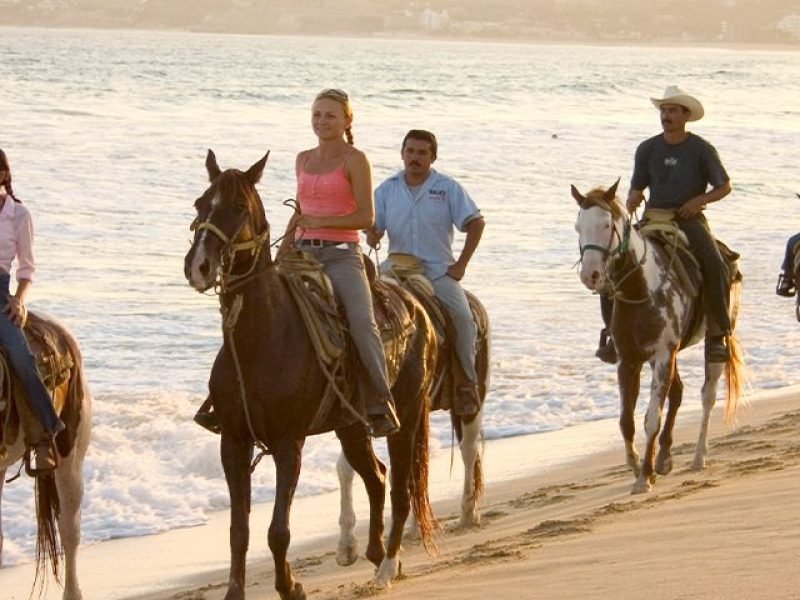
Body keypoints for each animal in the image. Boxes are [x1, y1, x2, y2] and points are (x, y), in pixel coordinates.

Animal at [184, 151, 438, 600]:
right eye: (200, 203)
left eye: (238, 207)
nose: (198, 266)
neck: (263, 337)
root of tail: (417, 306)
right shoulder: (233, 442)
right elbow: (238, 531)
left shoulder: (289, 443)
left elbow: (277, 531)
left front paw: (291, 586)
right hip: (351, 426)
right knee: (376, 476)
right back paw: (373, 551)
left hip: (406, 416)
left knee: (400, 488)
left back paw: (388, 566)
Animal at [572, 180, 748, 494]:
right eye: (578, 226)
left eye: (606, 224)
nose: (590, 275)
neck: (641, 287)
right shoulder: (629, 360)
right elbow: (626, 421)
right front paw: (636, 466)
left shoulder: (664, 353)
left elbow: (651, 418)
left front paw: (644, 477)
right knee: (677, 393)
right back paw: (664, 457)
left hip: (710, 340)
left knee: (707, 396)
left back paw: (698, 457)